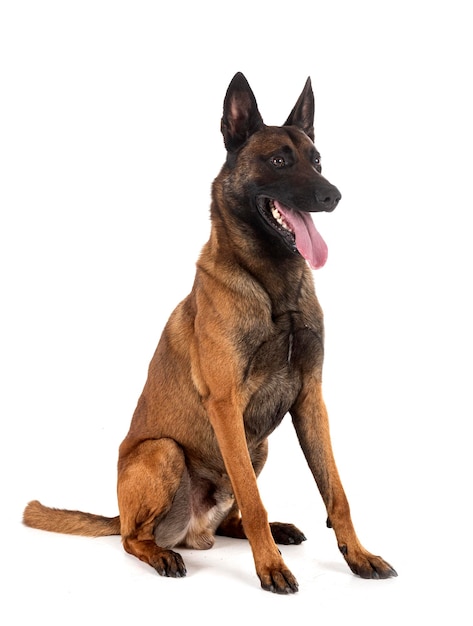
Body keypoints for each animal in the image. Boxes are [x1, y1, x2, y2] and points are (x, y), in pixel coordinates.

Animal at [24, 72, 396, 588]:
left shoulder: (310, 398)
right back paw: (163, 554)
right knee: (134, 538)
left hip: (258, 445)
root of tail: (192, 531)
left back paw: (273, 530)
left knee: (232, 516)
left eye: (317, 160)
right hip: (164, 452)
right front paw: (269, 569)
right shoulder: (225, 404)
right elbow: (255, 502)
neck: (274, 283)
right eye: (279, 161)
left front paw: (358, 556)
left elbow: (335, 493)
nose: (333, 195)